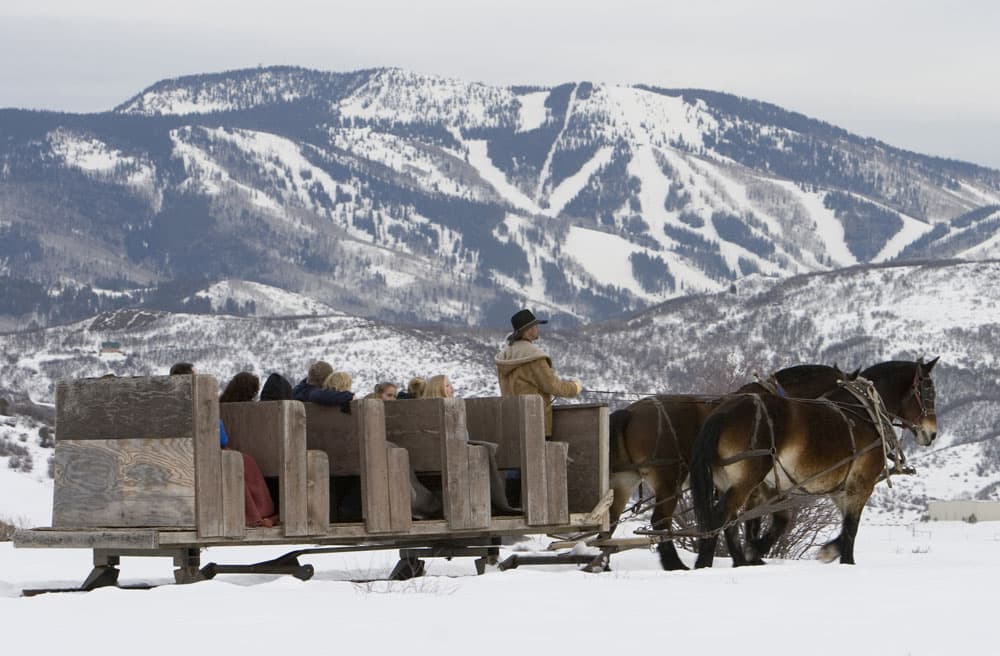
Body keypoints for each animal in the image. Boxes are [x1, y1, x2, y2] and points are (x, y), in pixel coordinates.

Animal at [607, 364, 857, 571]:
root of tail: (630, 412)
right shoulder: (751, 486)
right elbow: (749, 522)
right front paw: (749, 557)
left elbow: (736, 522)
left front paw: (742, 558)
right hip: (669, 482)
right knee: (659, 522)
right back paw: (674, 565)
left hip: (626, 479)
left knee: (611, 519)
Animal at [689, 358, 939, 568]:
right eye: (928, 392)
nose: (932, 434)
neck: (865, 414)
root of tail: (722, 413)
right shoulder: (861, 484)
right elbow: (851, 529)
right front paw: (845, 561)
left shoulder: (836, 489)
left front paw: (829, 551)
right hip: (746, 480)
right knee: (719, 519)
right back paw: (707, 564)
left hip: (728, 481)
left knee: (728, 522)